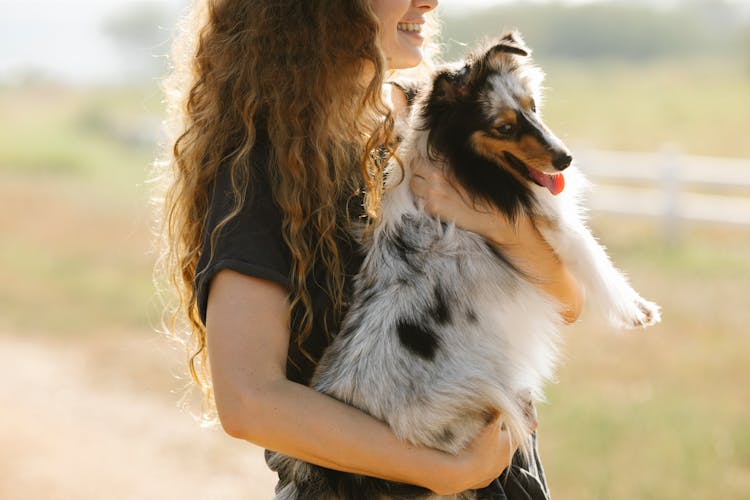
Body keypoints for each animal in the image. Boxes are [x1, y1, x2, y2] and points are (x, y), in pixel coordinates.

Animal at [268, 32, 664, 500]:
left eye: (532, 106)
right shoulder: (545, 223)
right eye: (504, 127)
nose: (565, 159)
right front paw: (637, 310)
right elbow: (590, 252)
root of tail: (336, 474)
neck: (457, 159)